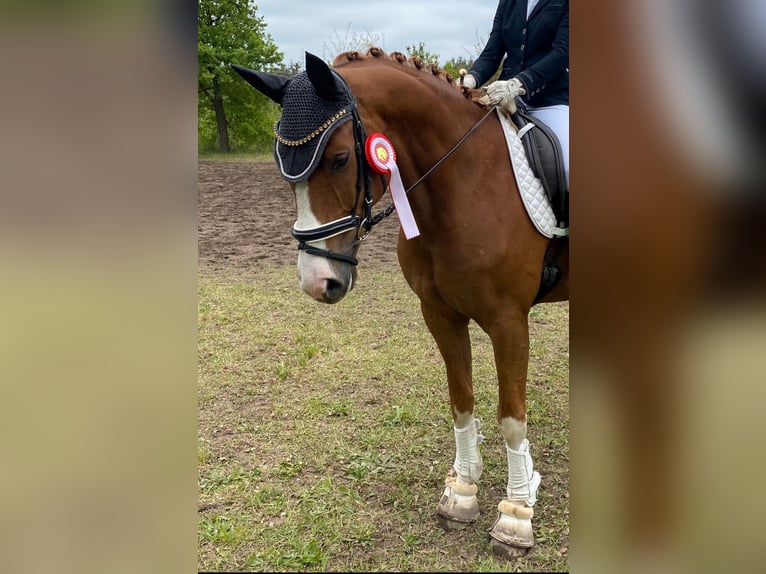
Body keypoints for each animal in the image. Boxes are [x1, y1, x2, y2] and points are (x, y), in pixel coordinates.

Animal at [234, 49, 568, 564]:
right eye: (281, 165)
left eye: (339, 158)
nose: (317, 282)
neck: (464, 183)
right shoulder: (440, 315)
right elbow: (461, 403)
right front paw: (464, 493)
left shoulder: (509, 321)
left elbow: (512, 420)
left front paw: (515, 515)